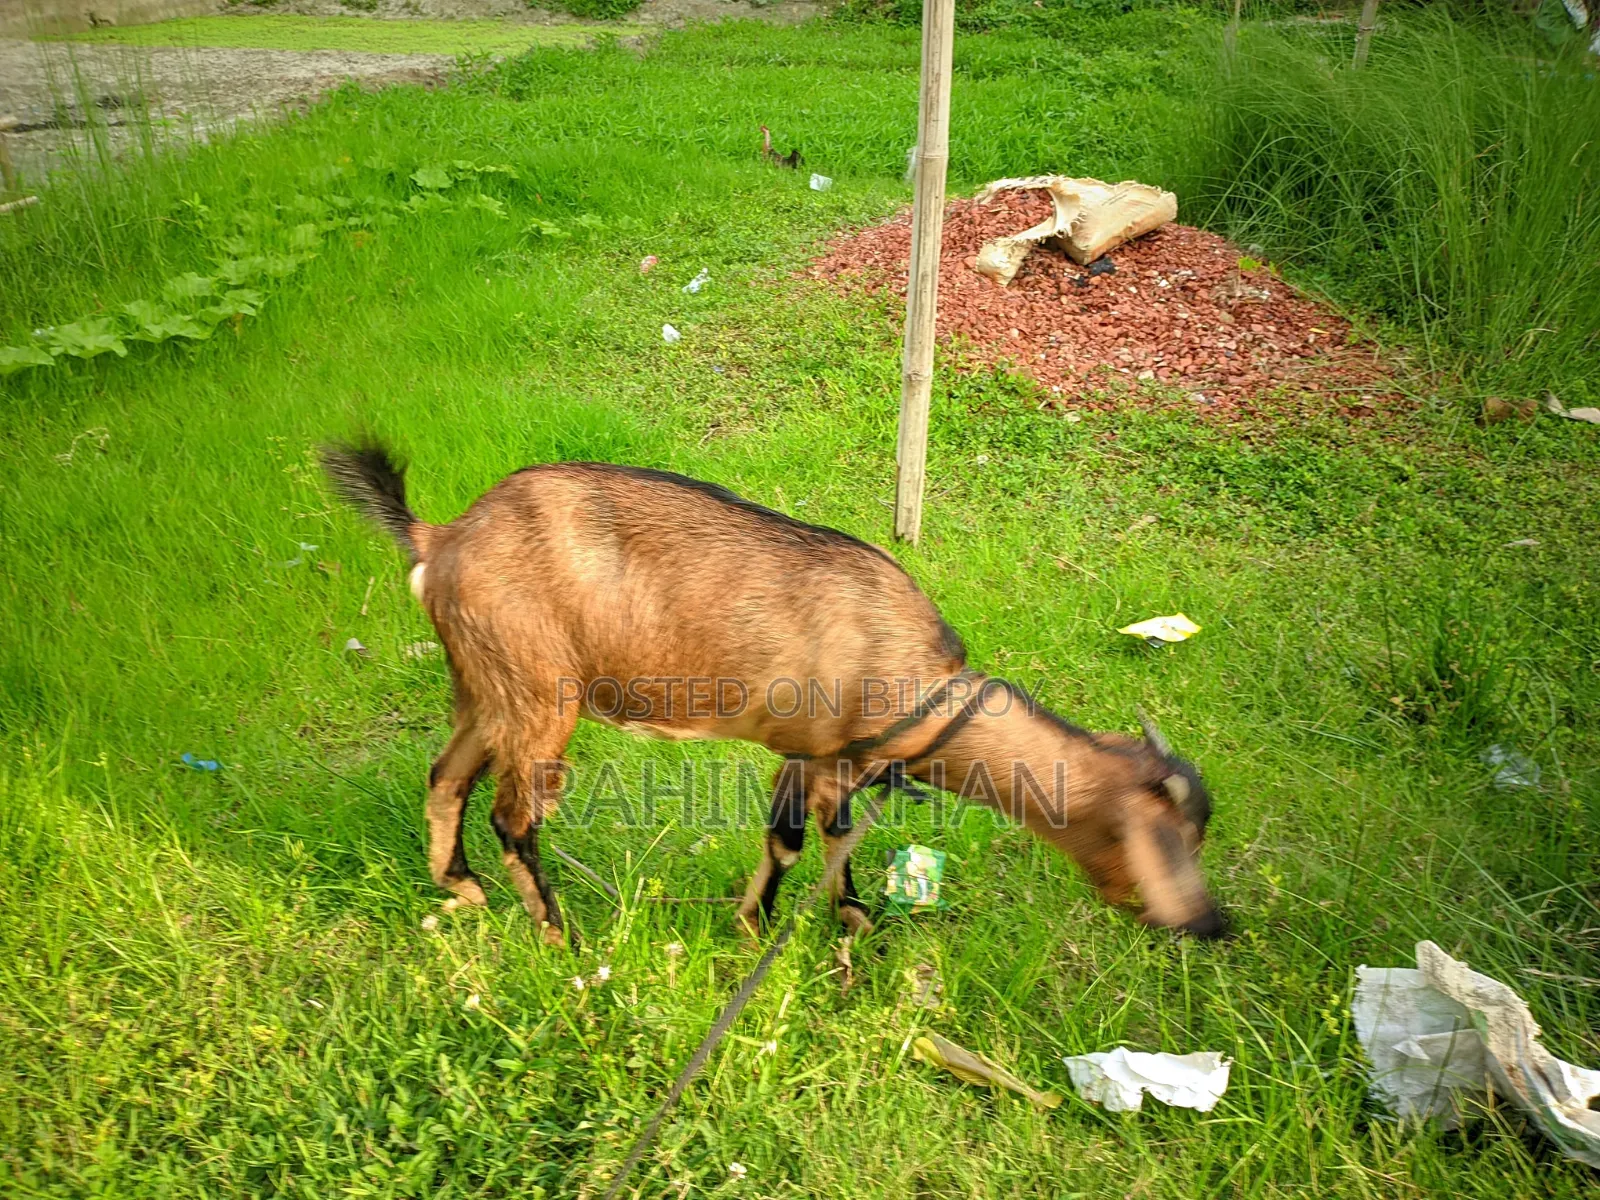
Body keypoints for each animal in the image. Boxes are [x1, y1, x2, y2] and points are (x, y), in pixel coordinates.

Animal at [322, 442, 1224, 947]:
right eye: (1170, 836)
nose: (1212, 924)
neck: (927, 693)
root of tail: (440, 538)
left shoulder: (812, 750)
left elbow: (803, 837)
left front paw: (792, 922)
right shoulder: (830, 757)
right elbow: (815, 840)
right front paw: (813, 928)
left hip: (485, 683)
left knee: (446, 775)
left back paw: (462, 889)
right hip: (541, 692)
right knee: (514, 816)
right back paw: (558, 935)